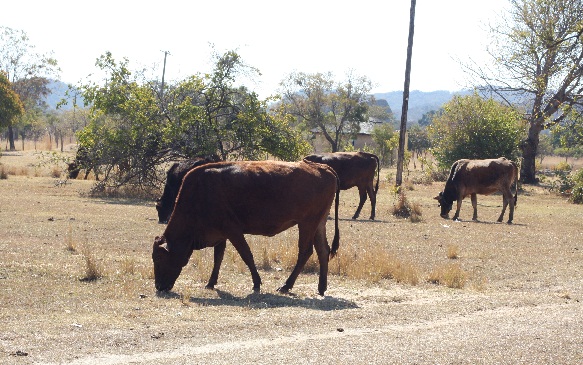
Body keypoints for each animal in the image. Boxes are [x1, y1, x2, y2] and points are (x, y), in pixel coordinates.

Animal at [152, 159, 342, 296]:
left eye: (159, 258)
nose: (159, 286)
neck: (200, 194)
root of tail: (323, 167)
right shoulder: (221, 235)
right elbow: (218, 258)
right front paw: (210, 283)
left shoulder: (233, 231)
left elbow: (246, 255)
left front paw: (257, 283)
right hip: (318, 225)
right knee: (323, 250)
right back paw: (321, 288)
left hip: (307, 224)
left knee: (305, 252)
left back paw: (286, 286)